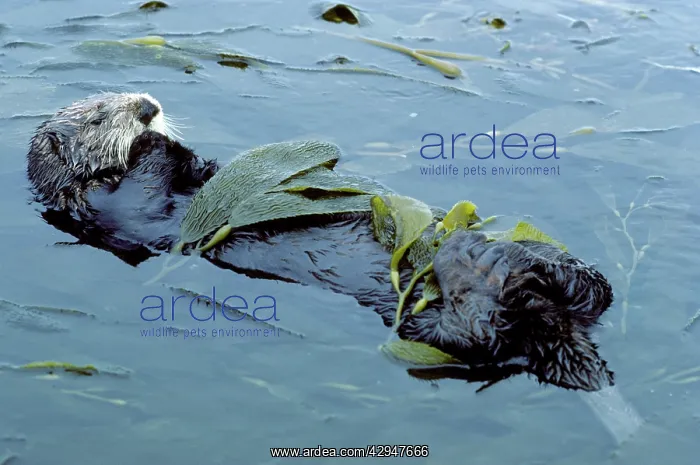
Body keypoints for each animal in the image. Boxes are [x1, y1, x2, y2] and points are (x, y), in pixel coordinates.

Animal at [26, 93, 615, 392]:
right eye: (99, 116)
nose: (147, 105)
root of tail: (556, 329)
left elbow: (195, 166)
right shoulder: (113, 208)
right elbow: (146, 186)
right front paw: (150, 140)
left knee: (591, 293)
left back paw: (541, 259)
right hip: (431, 329)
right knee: (480, 334)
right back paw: (476, 266)